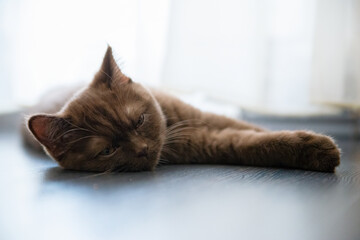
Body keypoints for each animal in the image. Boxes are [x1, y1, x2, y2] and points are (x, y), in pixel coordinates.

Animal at [24, 45, 340, 172]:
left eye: (139, 120)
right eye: (107, 151)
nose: (142, 149)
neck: (173, 122)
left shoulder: (204, 116)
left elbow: (252, 127)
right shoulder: (207, 140)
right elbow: (254, 142)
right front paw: (315, 148)